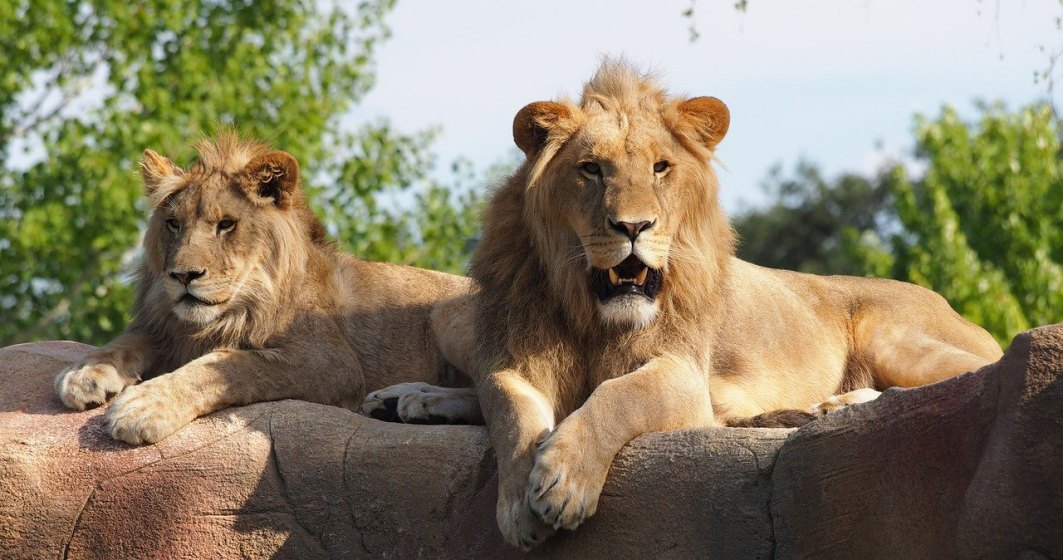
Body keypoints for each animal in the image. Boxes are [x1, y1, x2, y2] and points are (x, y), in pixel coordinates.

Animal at [52, 133, 478, 444]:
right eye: (173, 224)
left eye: (226, 224)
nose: (184, 276)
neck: (235, 307)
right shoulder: (166, 328)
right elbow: (126, 341)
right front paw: (85, 372)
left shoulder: (331, 362)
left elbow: (231, 365)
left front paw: (144, 406)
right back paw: (395, 399)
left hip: (448, 312)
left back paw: (423, 401)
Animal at [365, 60, 1003, 548]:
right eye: (591, 169)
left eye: (660, 168)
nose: (633, 226)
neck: (592, 313)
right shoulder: (517, 360)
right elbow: (510, 410)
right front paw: (520, 501)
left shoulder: (684, 375)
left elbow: (617, 396)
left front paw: (564, 480)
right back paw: (410, 399)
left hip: (889, 335)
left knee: (968, 375)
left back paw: (837, 406)